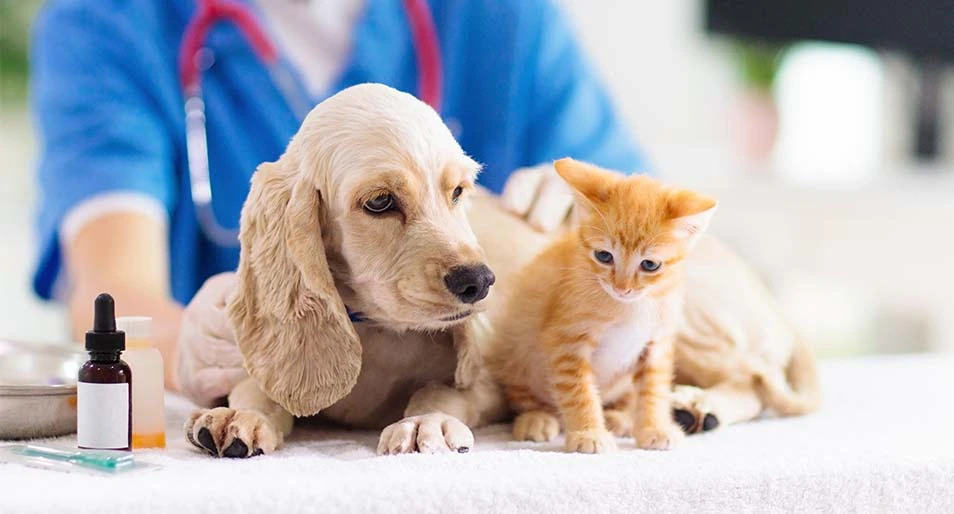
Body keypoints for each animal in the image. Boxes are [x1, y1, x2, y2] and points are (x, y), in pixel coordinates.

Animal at [488, 157, 716, 452]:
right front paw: (589, 434)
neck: (633, 307)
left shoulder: (656, 344)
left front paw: (654, 427)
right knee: (524, 394)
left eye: (649, 265)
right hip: (517, 349)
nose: (622, 288)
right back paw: (536, 419)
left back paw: (619, 418)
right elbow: (579, 392)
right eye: (604, 256)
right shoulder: (566, 343)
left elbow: (653, 389)